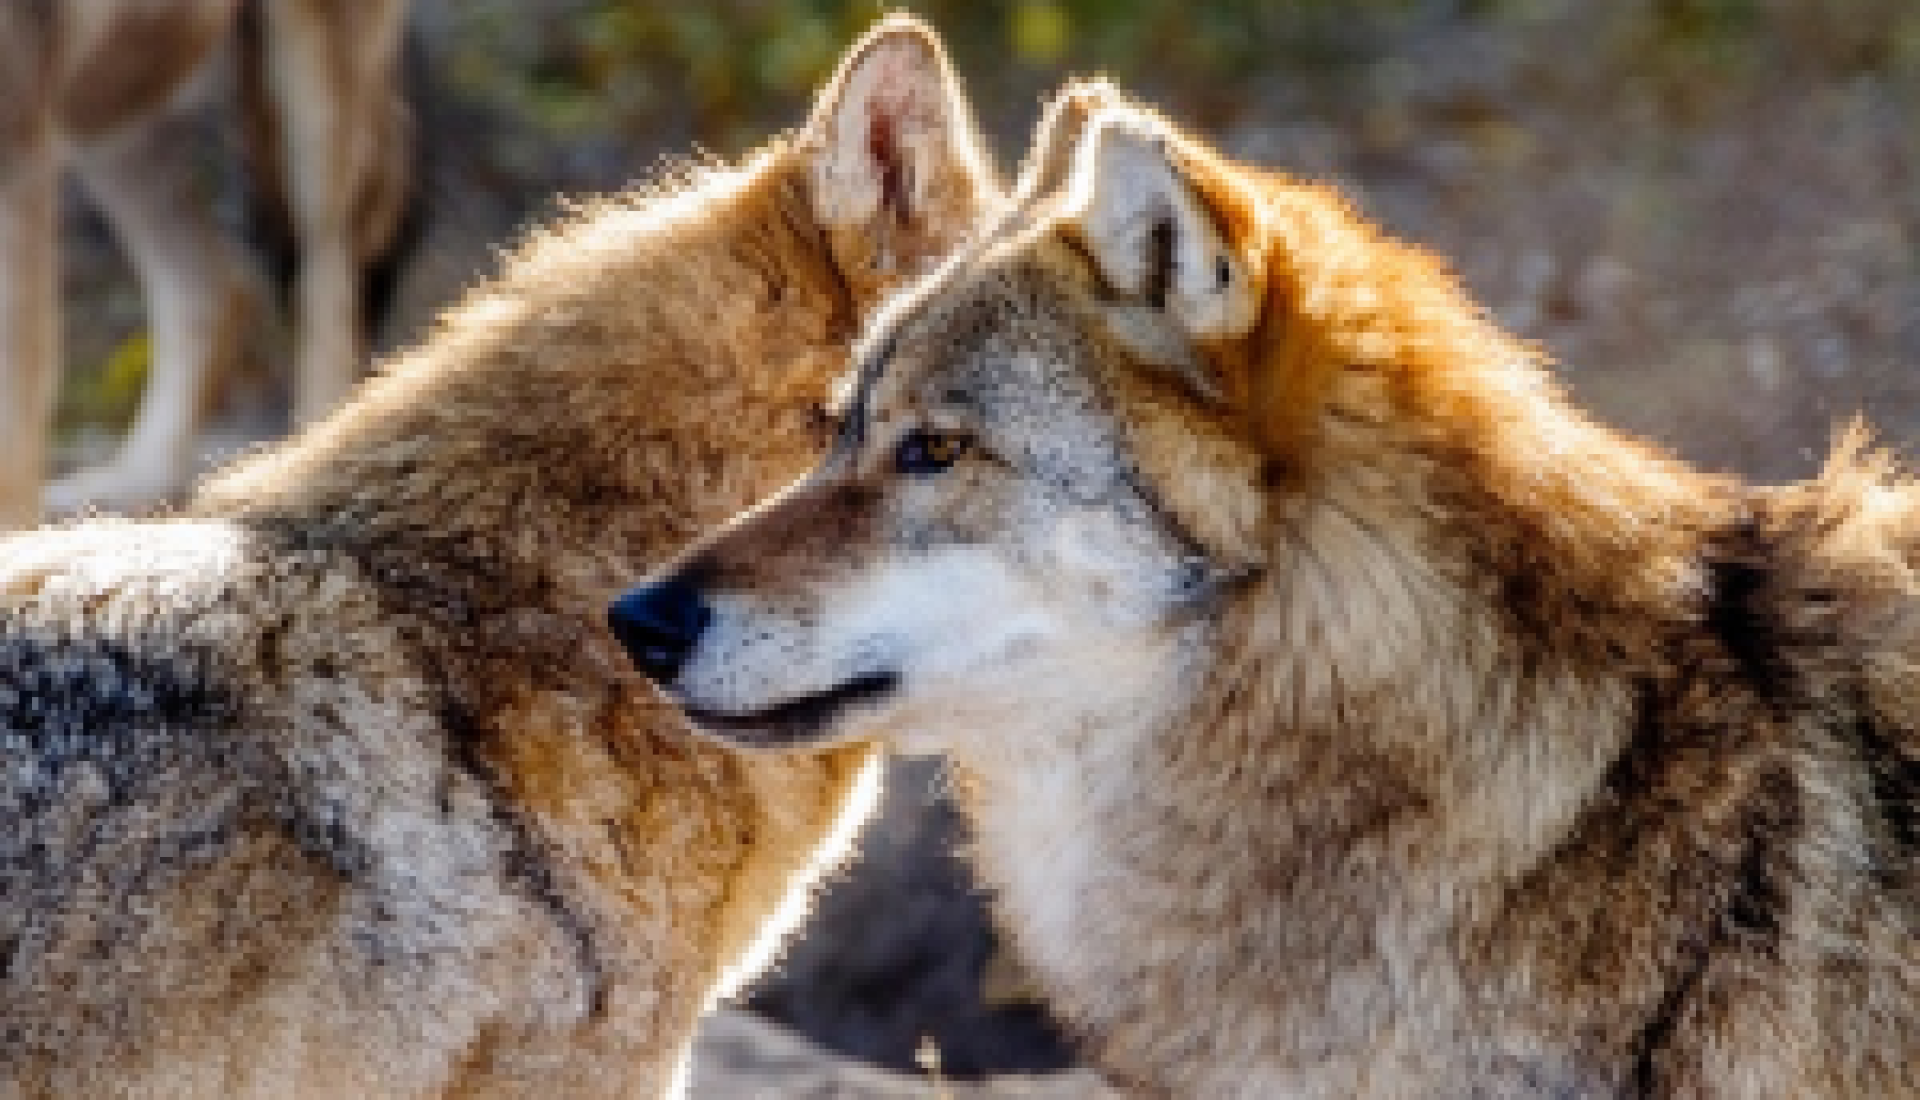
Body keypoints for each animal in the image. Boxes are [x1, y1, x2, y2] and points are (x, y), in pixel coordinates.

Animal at [0, 0, 419, 529]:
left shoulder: (16, 141)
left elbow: (13, 428)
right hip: (108, 104)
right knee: (218, 287)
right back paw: (138, 489)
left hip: (310, 102)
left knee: (328, 290)